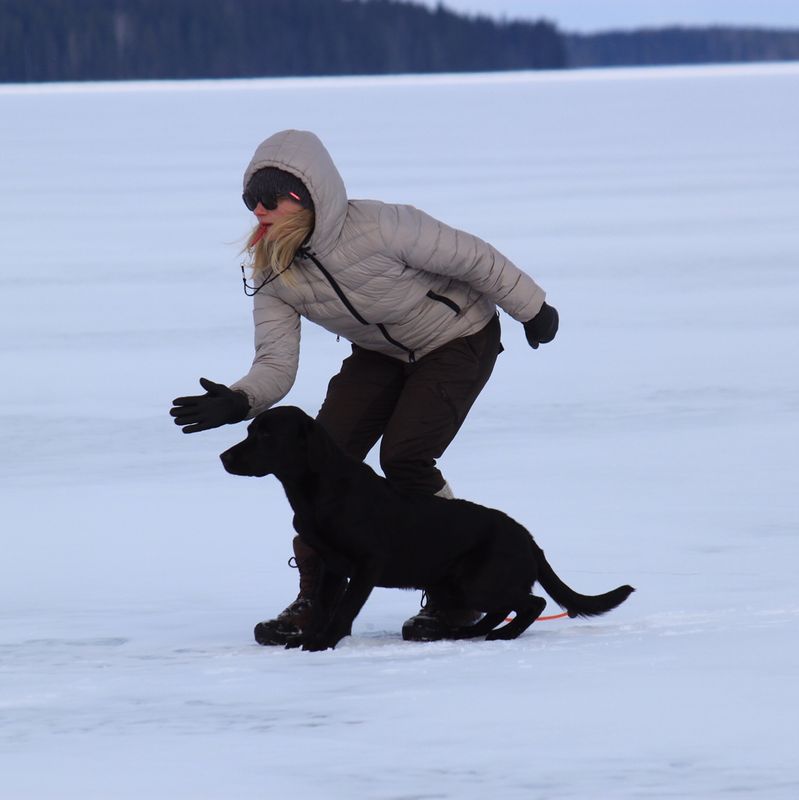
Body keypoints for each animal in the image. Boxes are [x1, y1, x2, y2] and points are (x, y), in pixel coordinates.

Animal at [222, 406, 636, 648]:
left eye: (265, 435)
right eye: (249, 430)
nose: (224, 456)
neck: (318, 490)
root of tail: (527, 537)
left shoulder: (367, 563)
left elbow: (345, 608)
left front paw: (323, 642)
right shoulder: (332, 565)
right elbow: (324, 605)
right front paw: (307, 637)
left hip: (476, 581)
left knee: (532, 603)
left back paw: (500, 634)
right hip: (458, 584)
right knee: (505, 607)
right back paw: (467, 632)